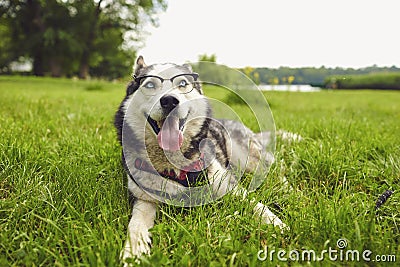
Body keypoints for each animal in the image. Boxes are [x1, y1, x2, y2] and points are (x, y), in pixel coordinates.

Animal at [115, 56, 288, 264]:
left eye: (182, 83)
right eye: (149, 84)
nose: (169, 101)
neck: (174, 164)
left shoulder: (227, 184)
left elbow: (255, 204)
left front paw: (274, 222)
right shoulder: (144, 199)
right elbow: (136, 225)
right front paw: (133, 252)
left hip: (247, 159)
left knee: (274, 166)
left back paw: (285, 185)